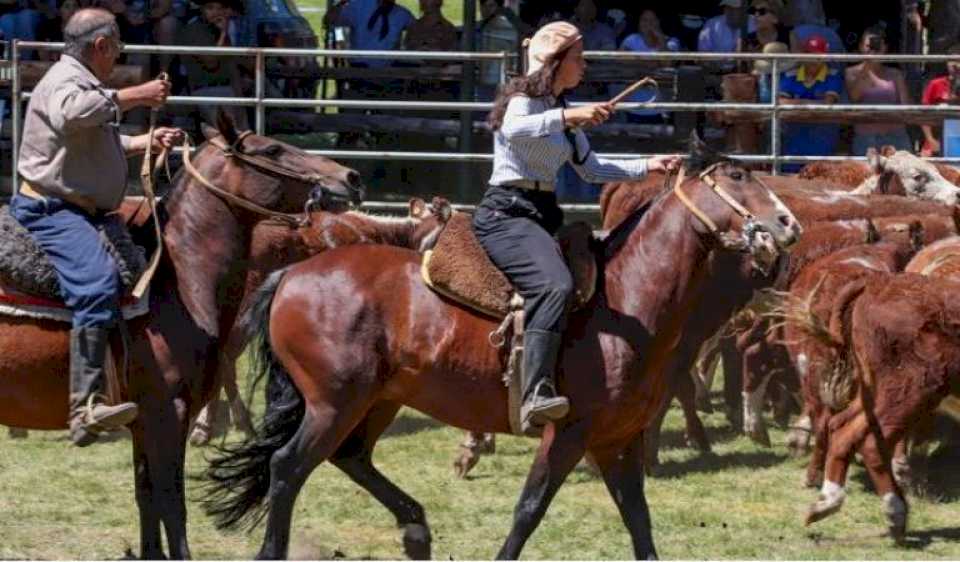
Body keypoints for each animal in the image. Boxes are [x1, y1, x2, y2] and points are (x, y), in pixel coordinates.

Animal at [0, 110, 364, 556]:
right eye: (272, 149)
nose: (349, 176)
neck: (176, 278)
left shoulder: (145, 418)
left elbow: (145, 495)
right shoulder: (169, 409)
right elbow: (171, 502)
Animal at [208, 142, 804, 556]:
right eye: (736, 177)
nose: (788, 223)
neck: (624, 298)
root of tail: (291, 275)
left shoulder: (619, 439)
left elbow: (638, 518)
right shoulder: (569, 432)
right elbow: (530, 508)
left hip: (377, 400)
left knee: (349, 457)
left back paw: (417, 528)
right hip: (333, 402)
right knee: (288, 468)